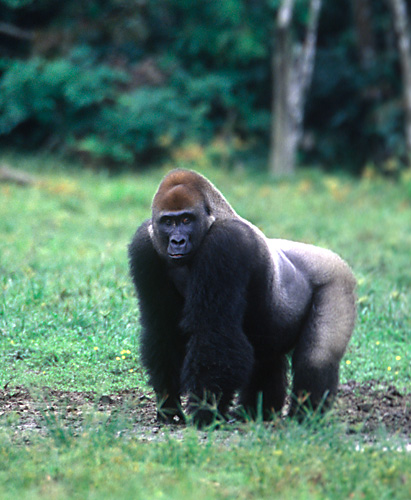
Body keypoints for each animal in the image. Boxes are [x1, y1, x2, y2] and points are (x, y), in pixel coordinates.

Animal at [130, 169, 358, 426]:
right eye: (168, 222)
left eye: (186, 220)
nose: (177, 241)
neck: (213, 218)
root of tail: (337, 259)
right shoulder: (145, 245)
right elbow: (163, 328)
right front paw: (169, 405)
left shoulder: (224, 243)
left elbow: (214, 332)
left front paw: (206, 412)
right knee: (266, 359)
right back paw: (256, 412)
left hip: (338, 281)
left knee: (316, 358)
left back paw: (306, 417)